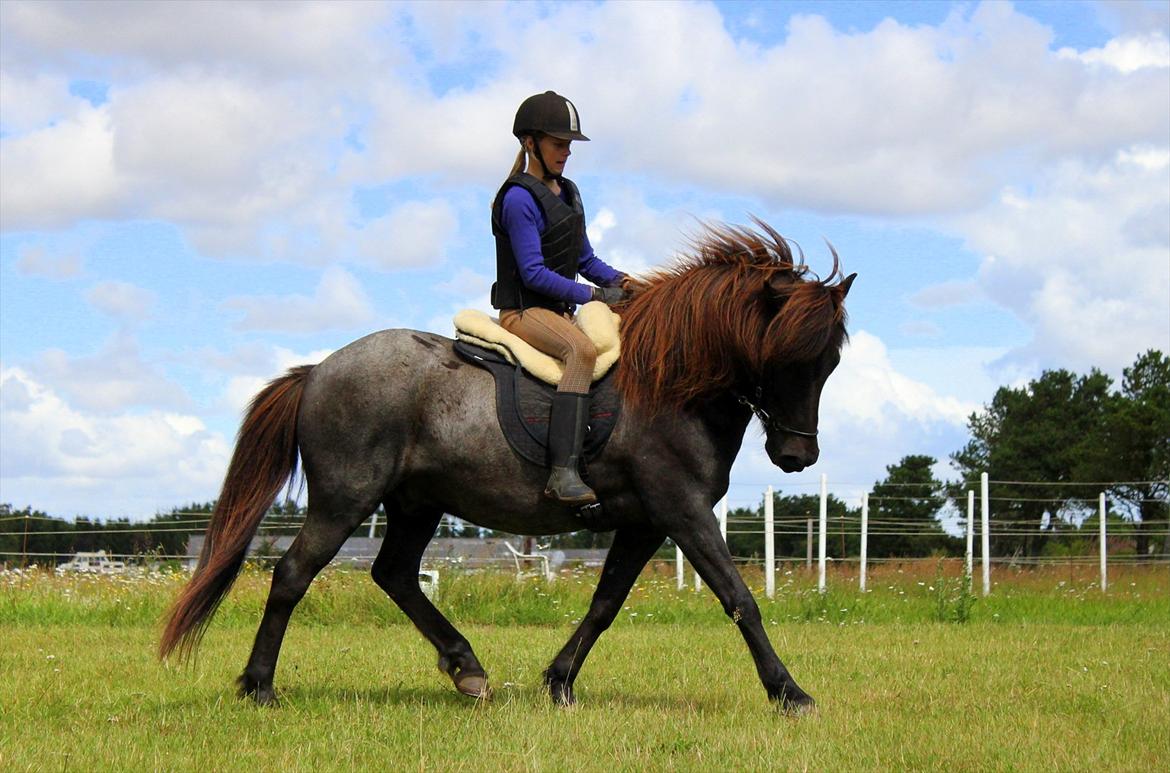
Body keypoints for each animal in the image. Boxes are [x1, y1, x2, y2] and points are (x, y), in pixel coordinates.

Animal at [160, 218, 856, 711]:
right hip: (346, 498)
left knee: (395, 575)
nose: (797, 457)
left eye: (829, 363)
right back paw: (259, 686)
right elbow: (740, 599)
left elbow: (606, 603)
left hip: (416, 503)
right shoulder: (681, 512)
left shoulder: (644, 522)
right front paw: (791, 694)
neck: (670, 383)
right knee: (293, 574)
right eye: (787, 357)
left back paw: (466, 670)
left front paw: (559, 681)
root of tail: (320, 371)